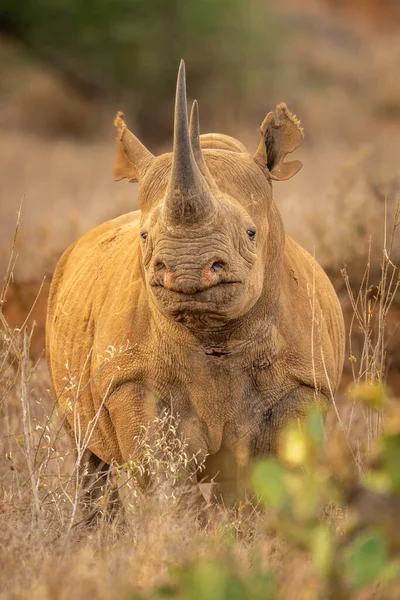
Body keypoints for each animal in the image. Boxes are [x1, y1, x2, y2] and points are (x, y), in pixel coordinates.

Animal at [46, 61, 344, 516]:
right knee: (87, 449)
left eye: (251, 233)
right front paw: (184, 530)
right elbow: (165, 483)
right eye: (145, 236)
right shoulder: (132, 382)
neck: (215, 332)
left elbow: (272, 478)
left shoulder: (302, 383)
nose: (186, 268)